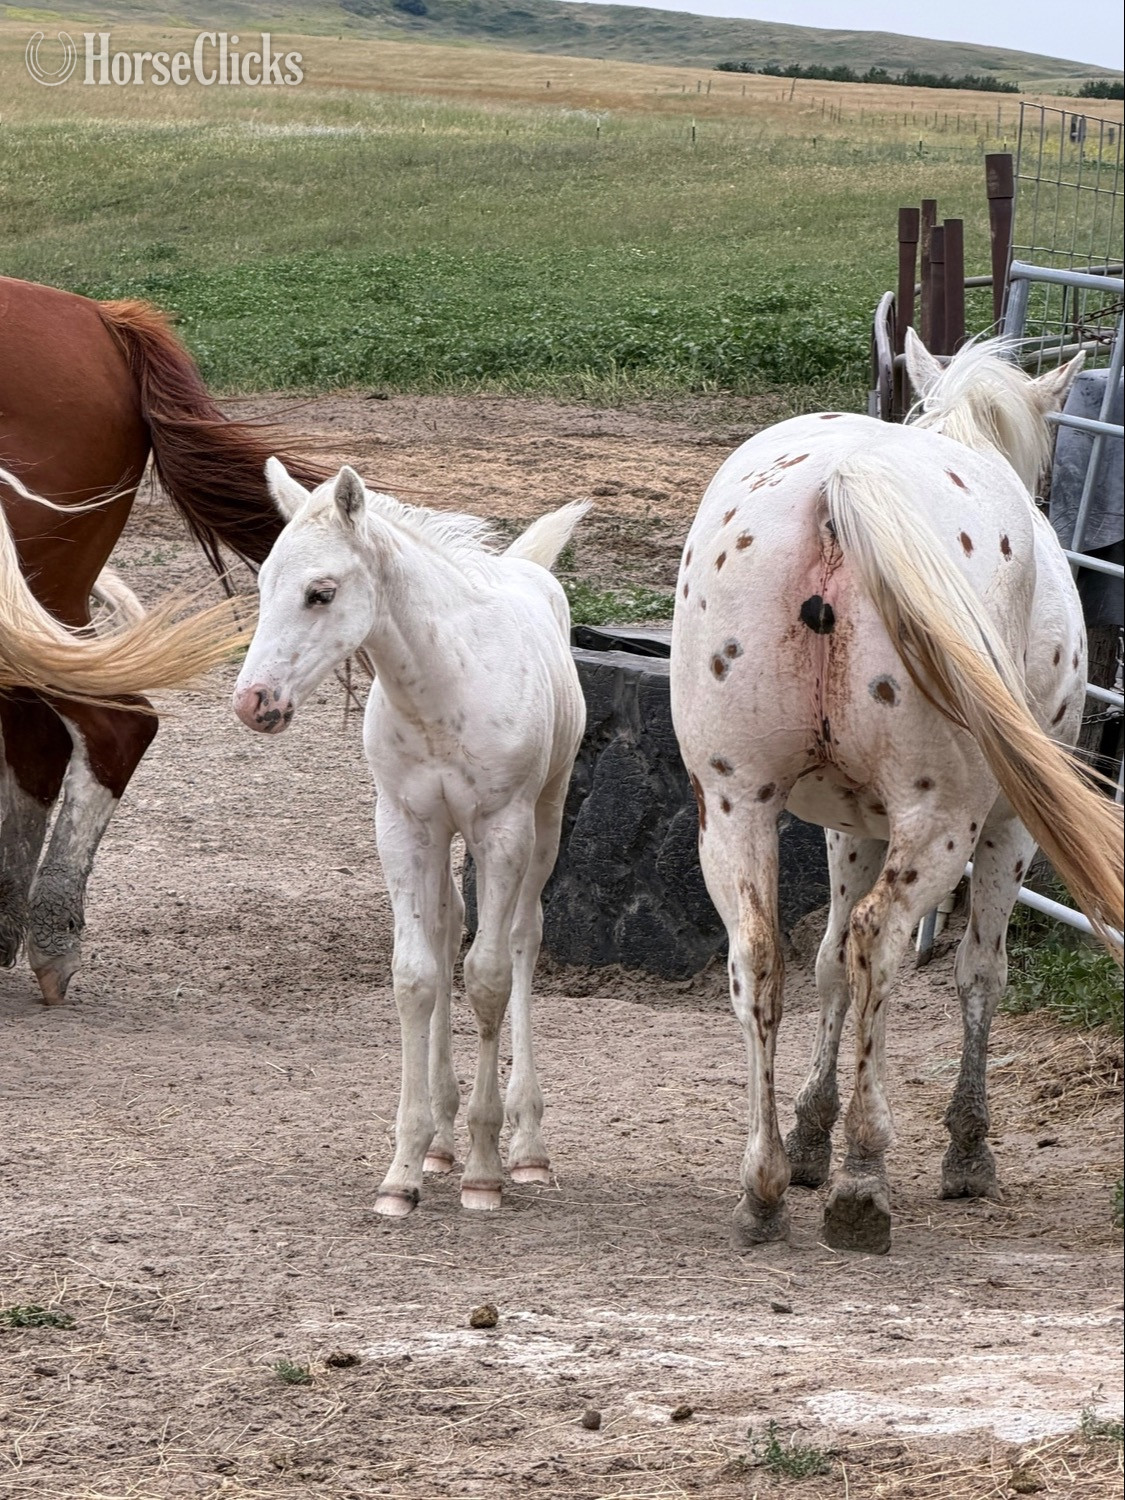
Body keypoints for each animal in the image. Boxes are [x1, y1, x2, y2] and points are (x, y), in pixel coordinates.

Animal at [233, 460, 588, 1215]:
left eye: (321, 592)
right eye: (264, 583)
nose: (253, 702)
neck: (439, 685)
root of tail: (527, 569)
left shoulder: (501, 829)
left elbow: (486, 977)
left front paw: (484, 1170)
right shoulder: (401, 826)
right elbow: (417, 976)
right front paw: (403, 1169)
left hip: (543, 817)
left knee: (523, 938)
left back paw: (526, 1148)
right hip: (446, 838)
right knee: (450, 927)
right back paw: (441, 1145)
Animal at [670, 330, 1123, 1256]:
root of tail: (837, 487)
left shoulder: (848, 826)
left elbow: (826, 967)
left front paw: (809, 1136)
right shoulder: (1007, 832)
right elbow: (979, 973)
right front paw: (967, 1151)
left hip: (734, 806)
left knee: (761, 956)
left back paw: (765, 1184)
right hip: (942, 819)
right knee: (880, 940)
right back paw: (864, 1180)